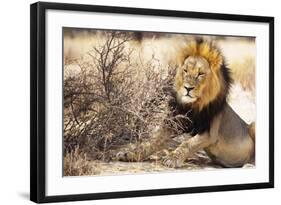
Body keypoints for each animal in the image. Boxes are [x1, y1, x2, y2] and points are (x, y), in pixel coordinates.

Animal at [115, 38, 255, 168]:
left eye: (200, 73)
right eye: (185, 70)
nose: (188, 88)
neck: (192, 106)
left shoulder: (210, 132)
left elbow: (188, 144)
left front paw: (172, 159)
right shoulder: (172, 123)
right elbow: (152, 141)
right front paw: (130, 153)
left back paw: (248, 165)